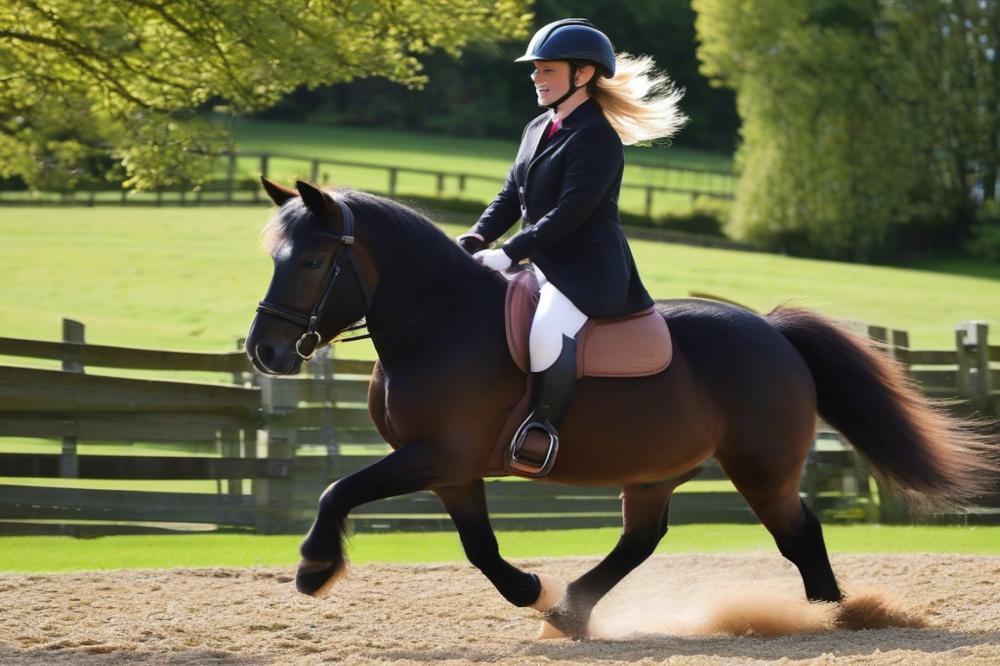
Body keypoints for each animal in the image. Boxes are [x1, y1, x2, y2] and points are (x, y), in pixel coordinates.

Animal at [246, 178, 996, 640]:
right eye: (274, 255)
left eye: (311, 261)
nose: (264, 350)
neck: (439, 320)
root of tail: (772, 330)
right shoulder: (451, 470)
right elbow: (480, 549)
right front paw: (534, 592)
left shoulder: (435, 456)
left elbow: (338, 491)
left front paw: (313, 568)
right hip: (657, 470)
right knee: (643, 537)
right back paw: (573, 610)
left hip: (760, 469)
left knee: (799, 535)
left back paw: (836, 617)